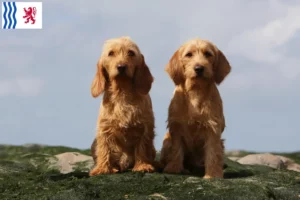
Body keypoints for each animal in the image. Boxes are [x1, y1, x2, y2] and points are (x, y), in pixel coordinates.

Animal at [88, 36, 156, 176]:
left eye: (131, 53)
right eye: (111, 53)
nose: (121, 67)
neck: (122, 92)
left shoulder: (145, 128)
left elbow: (142, 147)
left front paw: (142, 165)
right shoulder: (104, 128)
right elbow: (104, 148)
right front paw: (103, 168)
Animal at [159, 38, 232, 179]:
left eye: (208, 54)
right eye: (189, 54)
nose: (199, 68)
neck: (196, 91)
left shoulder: (212, 129)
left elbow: (213, 153)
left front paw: (213, 175)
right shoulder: (176, 127)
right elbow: (176, 149)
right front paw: (174, 168)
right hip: (166, 140)